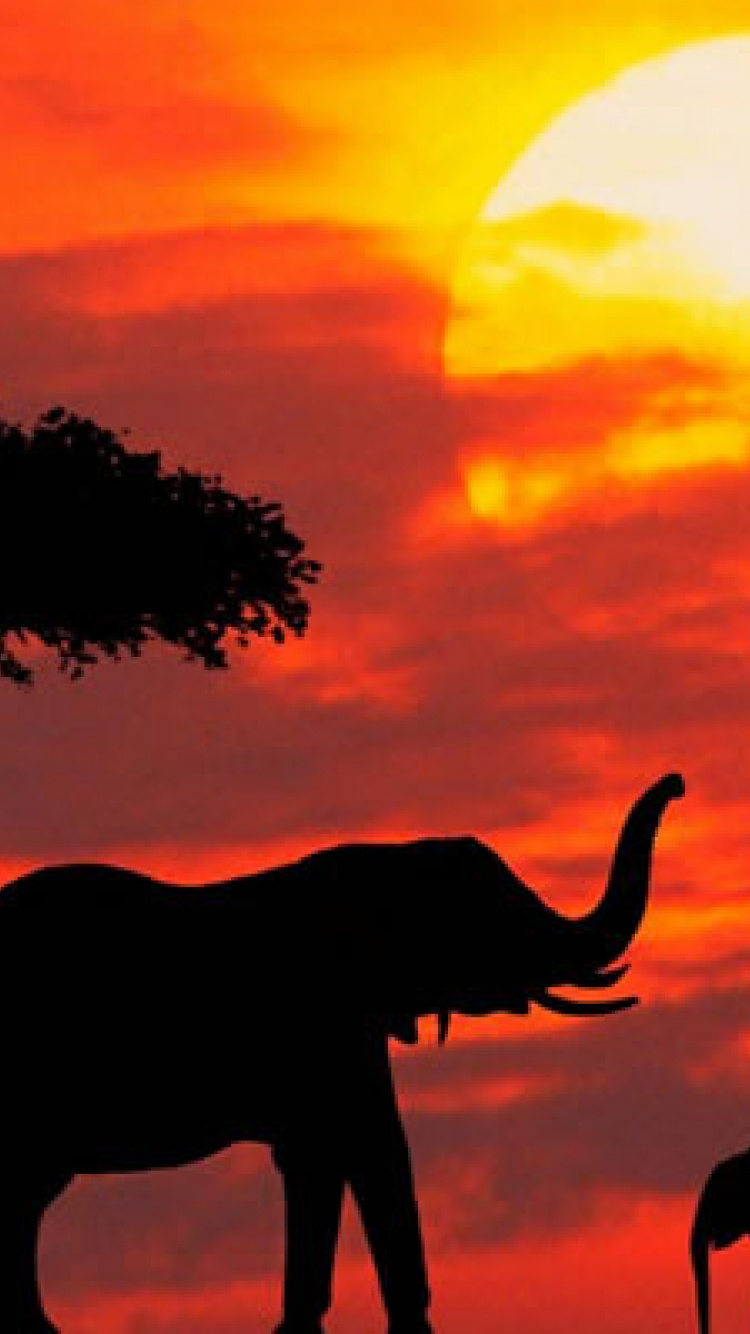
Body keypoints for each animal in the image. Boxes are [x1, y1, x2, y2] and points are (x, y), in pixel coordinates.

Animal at [0, 771, 683, 1334]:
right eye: (494, 921)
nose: (677, 784)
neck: (387, 857)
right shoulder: (328, 1026)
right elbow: (368, 1147)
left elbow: (330, 1157)